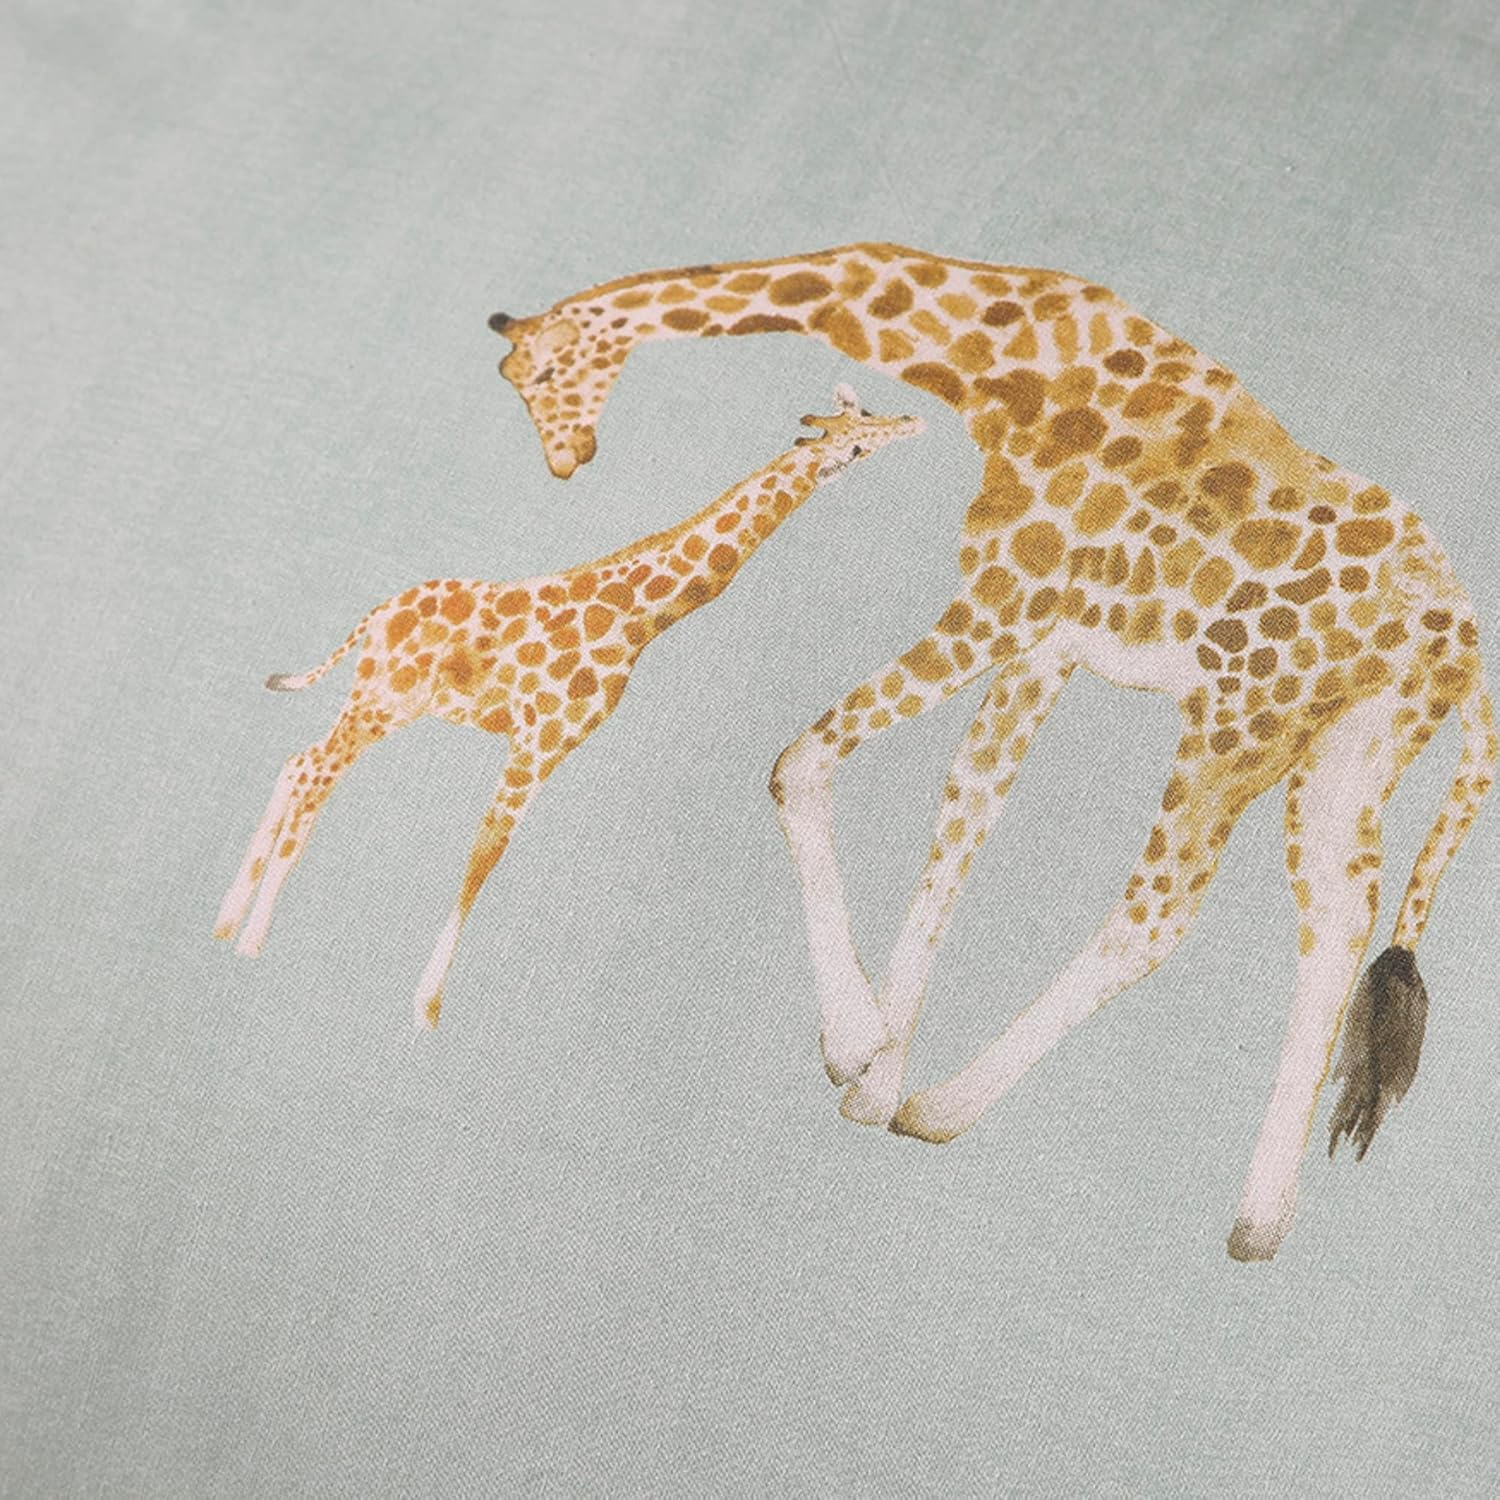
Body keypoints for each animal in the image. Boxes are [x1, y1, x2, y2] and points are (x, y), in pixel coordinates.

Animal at [214, 386, 922, 1026]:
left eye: (866, 412)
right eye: (855, 445)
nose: (913, 422)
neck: (636, 618)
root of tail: (377, 615)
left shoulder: (551, 747)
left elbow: (483, 856)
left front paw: (425, 1003)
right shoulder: (539, 741)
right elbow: (483, 858)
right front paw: (427, 1009)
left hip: (379, 701)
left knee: (301, 763)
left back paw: (227, 925)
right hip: (385, 698)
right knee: (313, 773)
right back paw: (251, 937)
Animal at [490, 243, 1495, 1258]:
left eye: (541, 370)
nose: (566, 461)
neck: (995, 364)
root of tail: (1459, 646)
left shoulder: (1004, 598)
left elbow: (801, 763)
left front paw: (856, 1048)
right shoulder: (1043, 643)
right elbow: (963, 819)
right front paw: (874, 1075)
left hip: (1243, 716)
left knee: (1161, 913)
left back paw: (947, 1110)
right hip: (1348, 752)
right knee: (1338, 921)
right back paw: (1260, 1221)